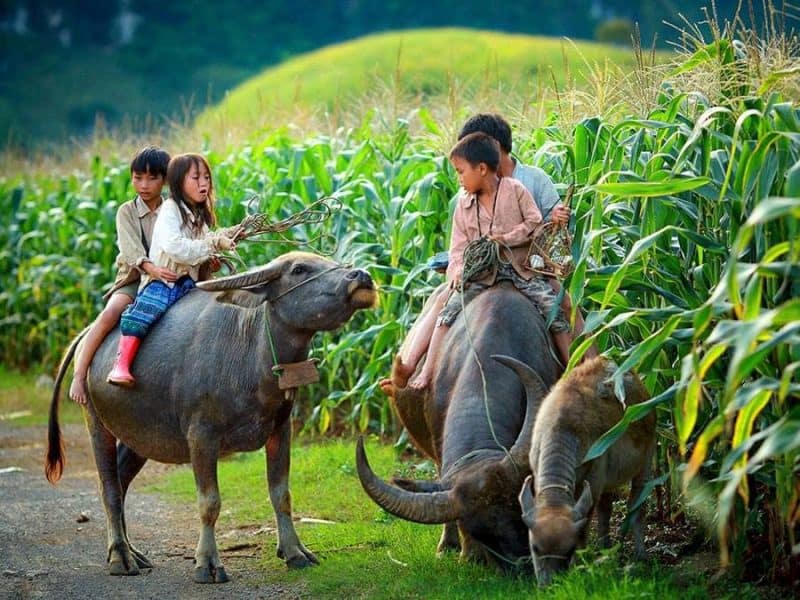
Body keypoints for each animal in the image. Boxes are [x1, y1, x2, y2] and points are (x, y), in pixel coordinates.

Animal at [45, 251, 376, 584]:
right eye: (299, 269)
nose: (362, 276)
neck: (251, 352)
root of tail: (87, 339)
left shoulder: (281, 429)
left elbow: (281, 493)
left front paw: (295, 552)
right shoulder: (201, 436)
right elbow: (209, 502)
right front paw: (207, 563)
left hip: (138, 435)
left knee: (121, 480)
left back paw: (133, 551)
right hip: (96, 420)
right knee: (109, 488)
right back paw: (120, 557)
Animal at [520, 356, 656, 584]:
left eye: (569, 550)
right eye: (535, 548)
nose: (550, 585)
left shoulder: (594, 478)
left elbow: (585, 525)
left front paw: (581, 562)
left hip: (646, 462)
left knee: (636, 506)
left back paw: (640, 555)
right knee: (606, 509)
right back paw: (605, 549)